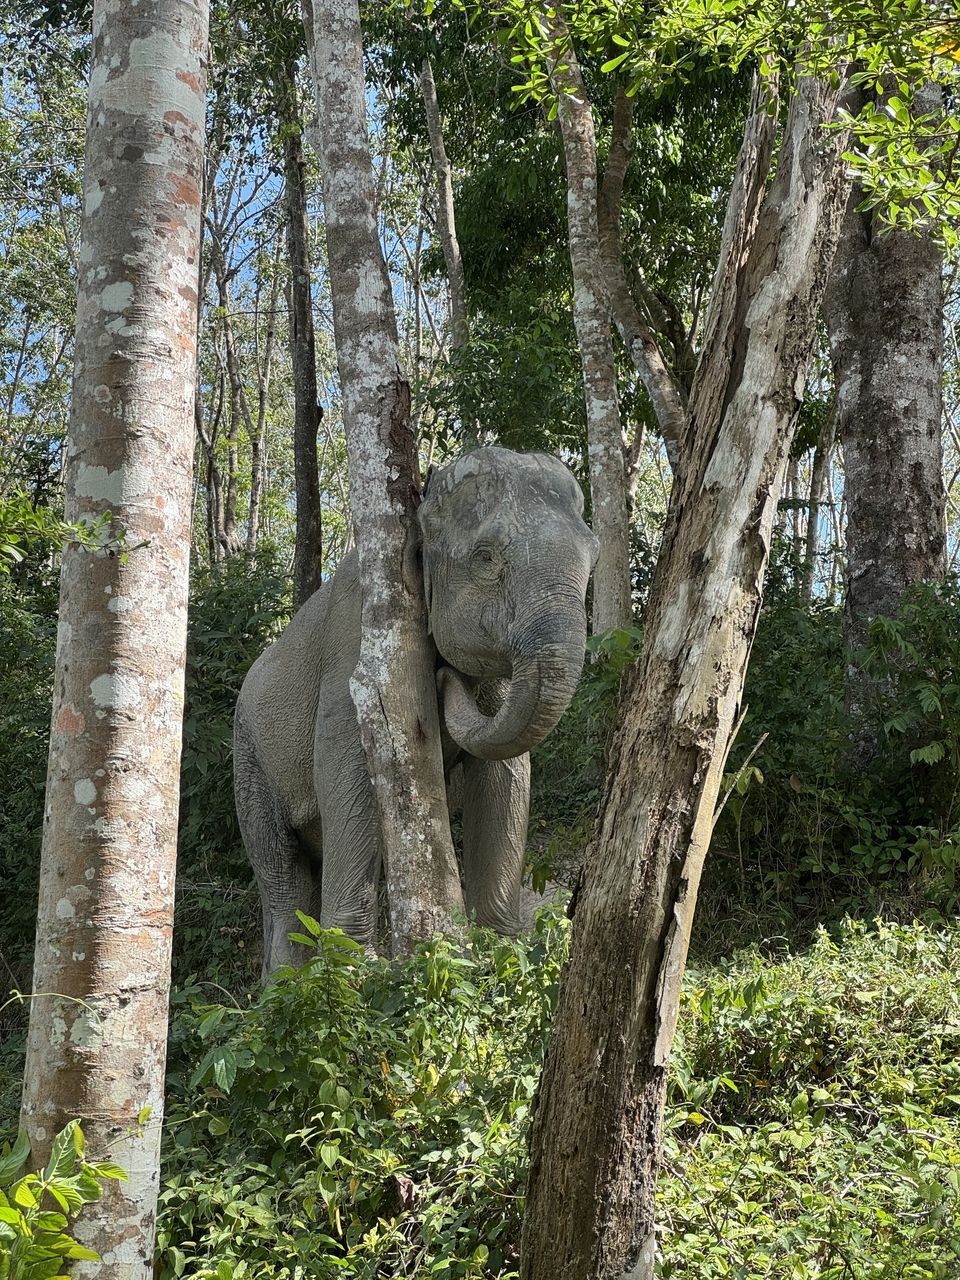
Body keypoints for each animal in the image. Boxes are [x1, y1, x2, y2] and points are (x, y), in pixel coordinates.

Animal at [233, 446, 598, 975]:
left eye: (594, 556)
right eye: (486, 557)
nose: (445, 679)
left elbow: (506, 777)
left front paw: (502, 953)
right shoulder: (356, 636)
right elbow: (346, 767)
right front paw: (353, 972)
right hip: (248, 761)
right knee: (283, 873)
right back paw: (286, 983)